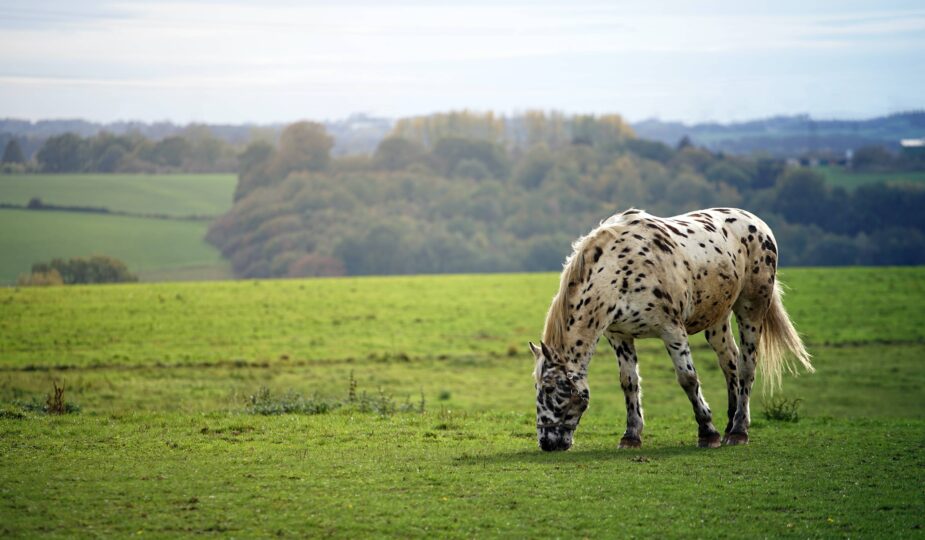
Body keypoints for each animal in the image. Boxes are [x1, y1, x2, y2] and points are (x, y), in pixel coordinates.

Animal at [532, 207, 812, 452]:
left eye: (550, 389)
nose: (546, 443)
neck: (619, 271)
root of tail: (759, 224)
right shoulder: (619, 336)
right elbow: (628, 382)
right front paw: (631, 436)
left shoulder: (672, 330)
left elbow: (688, 379)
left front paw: (707, 433)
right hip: (717, 318)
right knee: (729, 362)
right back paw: (730, 422)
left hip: (750, 308)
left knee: (746, 366)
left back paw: (738, 430)